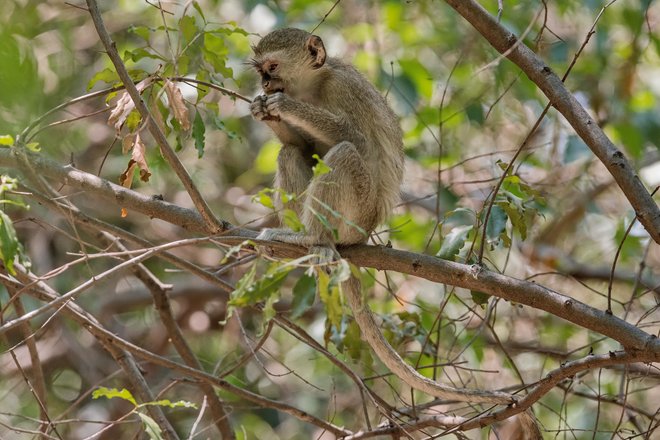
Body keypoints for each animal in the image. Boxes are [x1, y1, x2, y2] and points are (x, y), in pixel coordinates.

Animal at [250, 29, 540, 438]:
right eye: (260, 71)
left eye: (272, 67)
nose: (264, 85)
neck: (314, 86)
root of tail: (360, 236)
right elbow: (300, 144)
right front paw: (263, 110)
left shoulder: (344, 89)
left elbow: (353, 138)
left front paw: (283, 106)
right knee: (290, 152)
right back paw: (300, 239)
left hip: (357, 213)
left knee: (343, 152)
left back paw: (314, 240)